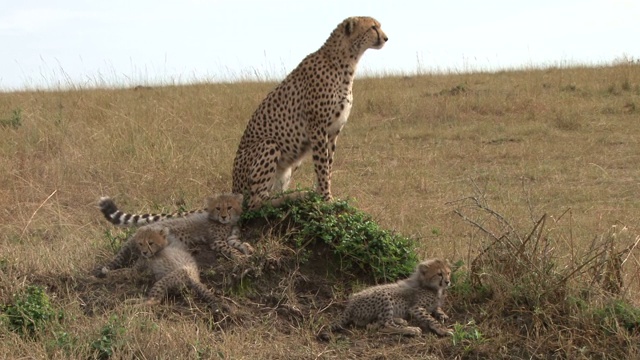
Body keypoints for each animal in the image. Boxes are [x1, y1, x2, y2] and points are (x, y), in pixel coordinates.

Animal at [232, 16, 388, 208]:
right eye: (373, 27)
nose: (386, 38)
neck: (347, 61)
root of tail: (233, 189)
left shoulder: (333, 132)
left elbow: (328, 165)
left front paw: (323, 195)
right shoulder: (317, 128)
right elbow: (321, 166)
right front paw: (326, 198)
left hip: (292, 162)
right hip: (269, 144)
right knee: (256, 202)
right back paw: (295, 196)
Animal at [318, 258, 450, 338]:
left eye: (448, 273)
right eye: (439, 274)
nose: (448, 282)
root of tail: (350, 304)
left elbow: (437, 308)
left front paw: (443, 315)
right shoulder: (415, 307)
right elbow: (430, 318)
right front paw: (443, 329)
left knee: (374, 325)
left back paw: (400, 320)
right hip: (385, 297)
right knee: (385, 325)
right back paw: (410, 329)